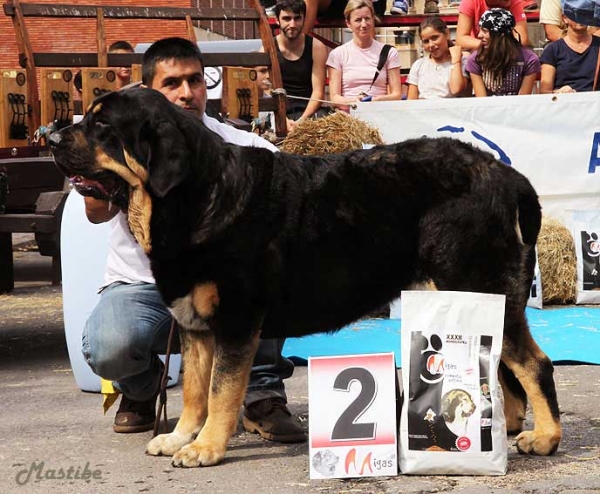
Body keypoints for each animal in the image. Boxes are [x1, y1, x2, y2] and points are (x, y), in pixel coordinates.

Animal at [49, 88, 560, 466]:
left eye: (102, 126)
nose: (52, 138)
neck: (195, 197)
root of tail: (506, 176)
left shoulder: (236, 320)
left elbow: (220, 392)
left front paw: (206, 447)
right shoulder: (193, 322)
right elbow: (195, 391)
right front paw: (181, 437)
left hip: (475, 283)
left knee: (533, 364)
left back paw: (545, 437)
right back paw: (511, 425)